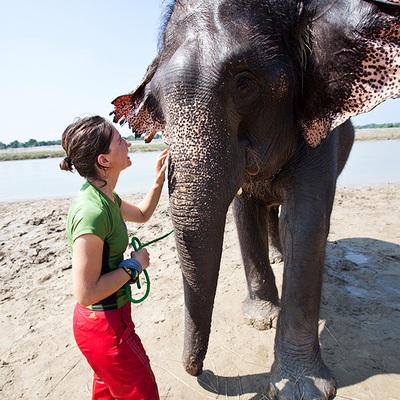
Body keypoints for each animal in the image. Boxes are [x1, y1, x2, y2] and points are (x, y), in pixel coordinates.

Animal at [110, 1, 400, 398]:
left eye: (245, 82)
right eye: (154, 100)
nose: (198, 371)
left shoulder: (318, 131)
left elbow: (306, 219)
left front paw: (302, 387)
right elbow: (243, 210)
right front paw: (262, 317)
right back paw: (278, 255)